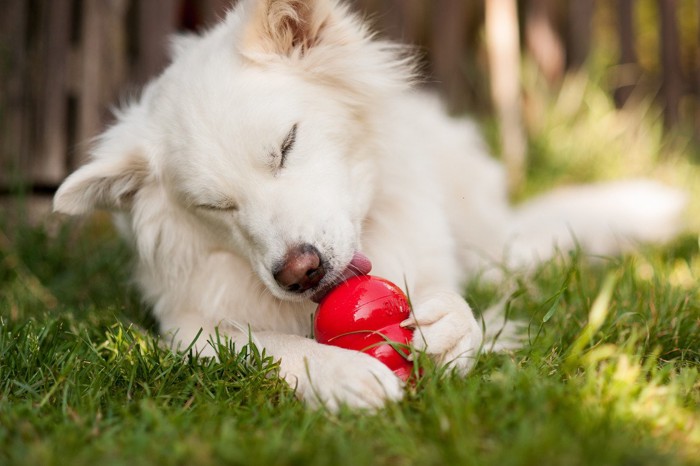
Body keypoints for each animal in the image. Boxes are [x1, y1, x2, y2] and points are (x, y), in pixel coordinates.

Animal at [52, 0, 688, 408]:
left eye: (286, 145)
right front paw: (339, 374)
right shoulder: (187, 331)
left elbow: (462, 311)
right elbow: (266, 345)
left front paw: (449, 331)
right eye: (217, 207)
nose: (299, 273)